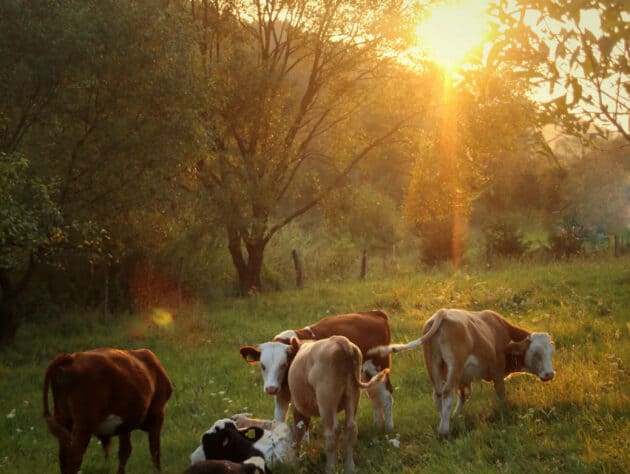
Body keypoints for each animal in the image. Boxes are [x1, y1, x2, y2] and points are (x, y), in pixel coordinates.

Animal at [42, 346, 173, 472]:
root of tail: (71, 358)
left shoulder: (125, 424)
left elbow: (125, 451)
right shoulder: (158, 413)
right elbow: (155, 450)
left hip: (64, 420)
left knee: (64, 457)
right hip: (83, 424)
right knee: (74, 457)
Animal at [241, 312, 396, 430]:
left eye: (283, 364)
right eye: (262, 365)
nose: (271, 388)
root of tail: (374, 313)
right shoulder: (281, 395)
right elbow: (278, 420)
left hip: (379, 366)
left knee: (386, 395)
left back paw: (389, 428)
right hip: (366, 374)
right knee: (374, 395)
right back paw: (378, 425)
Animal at [290, 336, 390, 472]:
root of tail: (342, 341)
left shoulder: (297, 407)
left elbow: (298, 431)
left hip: (326, 399)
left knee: (332, 432)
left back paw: (330, 468)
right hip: (352, 395)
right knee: (351, 428)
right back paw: (350, 467)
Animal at [370, 310, 556, 436]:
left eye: (551, 352)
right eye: (536, 354)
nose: (550, 374)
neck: (499, 329)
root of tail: (443, 313)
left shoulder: (464, 378)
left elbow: (465, 394)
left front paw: (456, 415)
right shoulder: (496, 372)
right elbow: (501, 394)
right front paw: (505, 411)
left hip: (433, 366)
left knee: (438, 395)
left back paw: (443, 421)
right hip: (454, 366)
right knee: (447, 393)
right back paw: (444, 431)